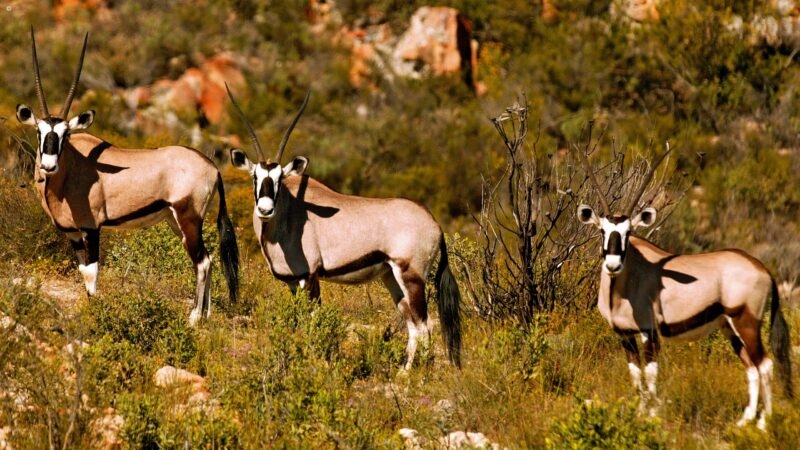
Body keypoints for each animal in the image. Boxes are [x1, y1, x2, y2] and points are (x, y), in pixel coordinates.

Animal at [16, 29, 239, 325]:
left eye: (65, 134)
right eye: (40, 132)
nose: (49, 166)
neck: (70, 169)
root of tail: (212, 167)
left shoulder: (91, 228)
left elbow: (92, 273)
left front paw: (95, 314)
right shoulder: (73, 234)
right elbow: (82, 272)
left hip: (189, 218)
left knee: (202, 261)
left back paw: (193, 318)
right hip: (174, 221)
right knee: (209, 259)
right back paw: (207, 315)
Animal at [226, 86, 462, 369]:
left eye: (279, 178)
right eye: (255, 177)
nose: (265, 209)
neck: (289, 214)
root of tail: (435, 224)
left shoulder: (310, 276)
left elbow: (313, 321)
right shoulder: (293, 283)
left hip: (412, 276)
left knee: (425, 325)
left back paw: (417, 373)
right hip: (391, 277)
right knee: (413, 325)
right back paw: (403, 372)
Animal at [576, 148, 793, 429]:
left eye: (629, 231)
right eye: (602, 230)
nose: (613, 265)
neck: (624, 285)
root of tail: (763, 269)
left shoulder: (649, 332)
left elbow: (650, 374)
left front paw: (651, 417)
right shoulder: (623, 334)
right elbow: (635, 375)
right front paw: (639, 413)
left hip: (747, 323)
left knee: (765, 365)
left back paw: (764, 423)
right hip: (730, 328)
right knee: (752, 368)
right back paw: (744, 421)